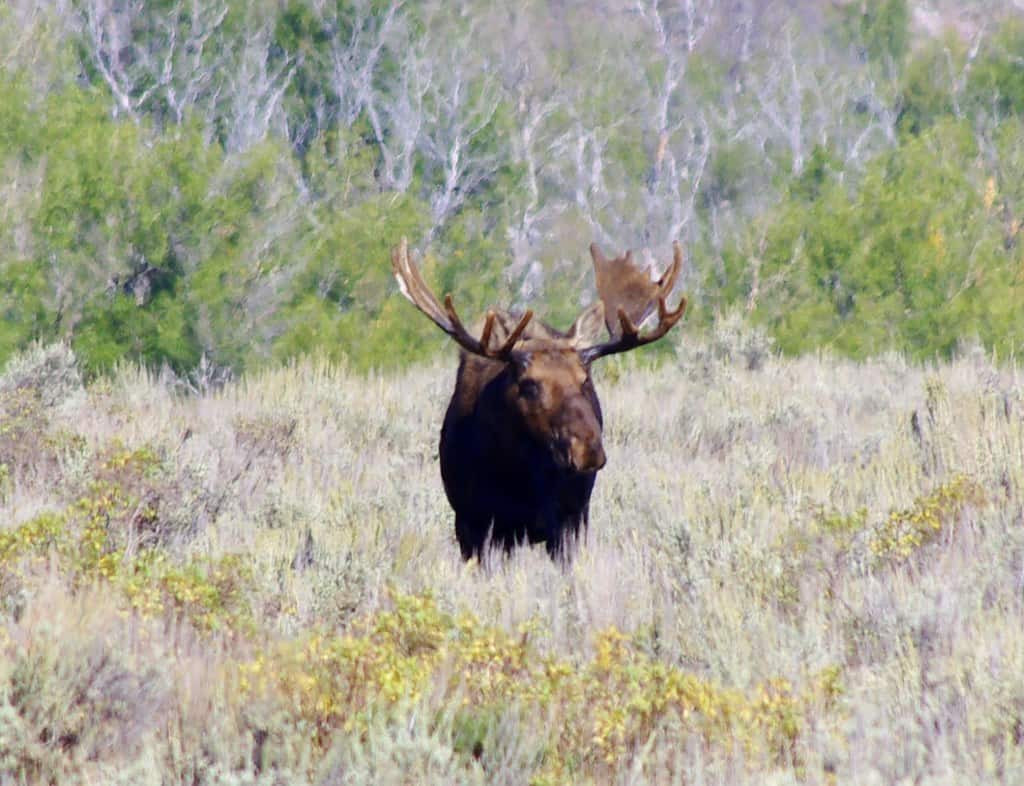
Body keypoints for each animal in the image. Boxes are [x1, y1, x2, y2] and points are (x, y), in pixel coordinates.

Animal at [391, 238, 687, 561]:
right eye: (529, 385)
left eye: (586, 380)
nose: (587, 449)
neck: (519, 476)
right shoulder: (473, 523)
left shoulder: (567, 521)